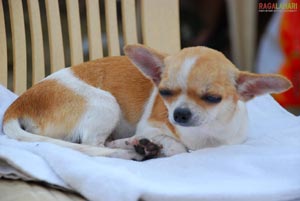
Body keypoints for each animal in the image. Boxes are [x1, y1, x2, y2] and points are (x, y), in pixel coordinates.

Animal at [2, 44, 292, 160]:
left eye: (212, 98)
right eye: (164, 92)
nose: (180, 114)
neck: (206, 135)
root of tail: (17, 105)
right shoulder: (151, 127)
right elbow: (178, 148)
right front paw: (156, 146)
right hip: (105, 103)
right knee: (93, 145)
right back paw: (133, 148)